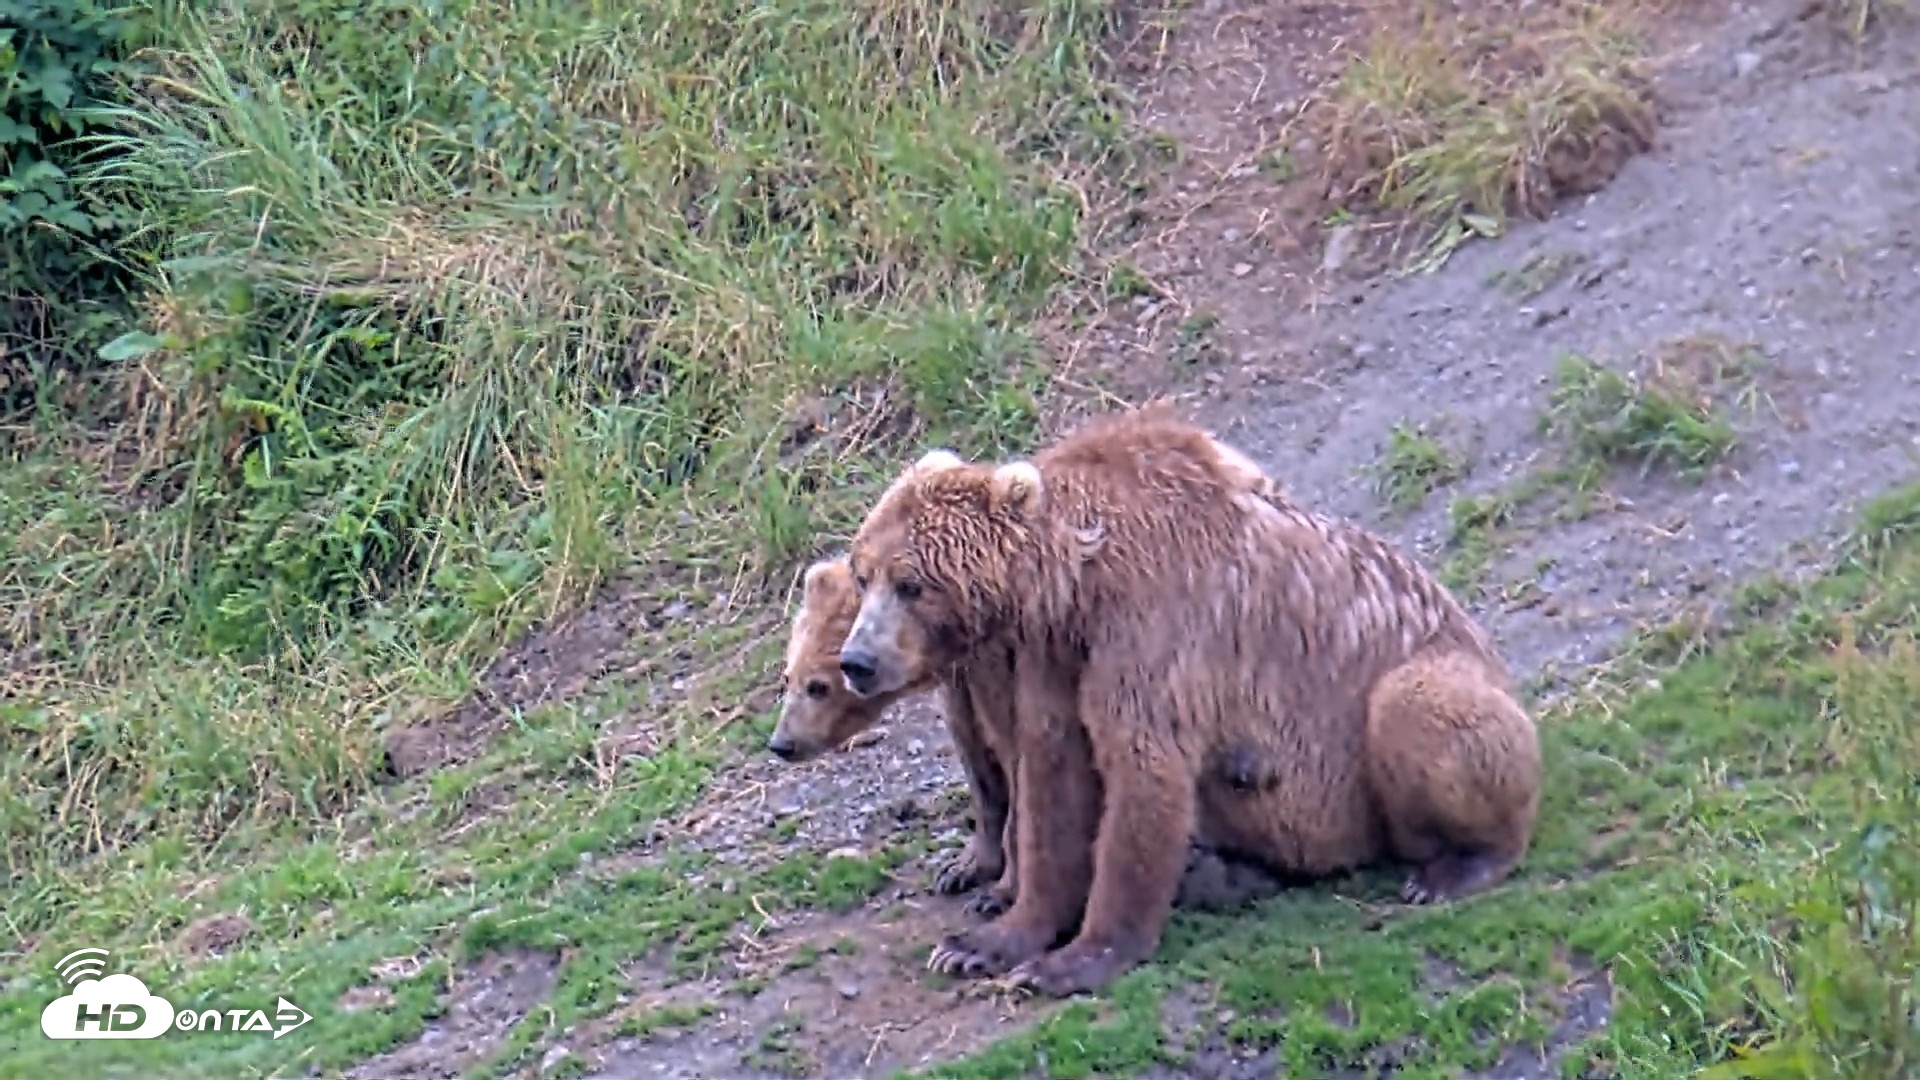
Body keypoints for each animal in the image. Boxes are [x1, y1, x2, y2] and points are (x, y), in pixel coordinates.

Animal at [767, 554, 1293, 918]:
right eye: (787, 678)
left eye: (818, 685)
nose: (781, 744)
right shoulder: (962, 689)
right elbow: (980, 766)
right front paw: (964, 867)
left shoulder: (1009, 669)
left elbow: (1023, 764)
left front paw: (1001, 891)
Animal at [835, 404, 1541, 997]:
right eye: (861, 574)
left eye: (911, 583)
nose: (856, 661)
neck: (1076, 585)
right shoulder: (1056, 660)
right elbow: (1053, 779)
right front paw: (981, 942)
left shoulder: (1156, 624)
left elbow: (1140, 772)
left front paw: (1074, 959)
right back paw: (1229, 875)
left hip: (1420, 693)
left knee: (1423, 710)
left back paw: (1457, 866)